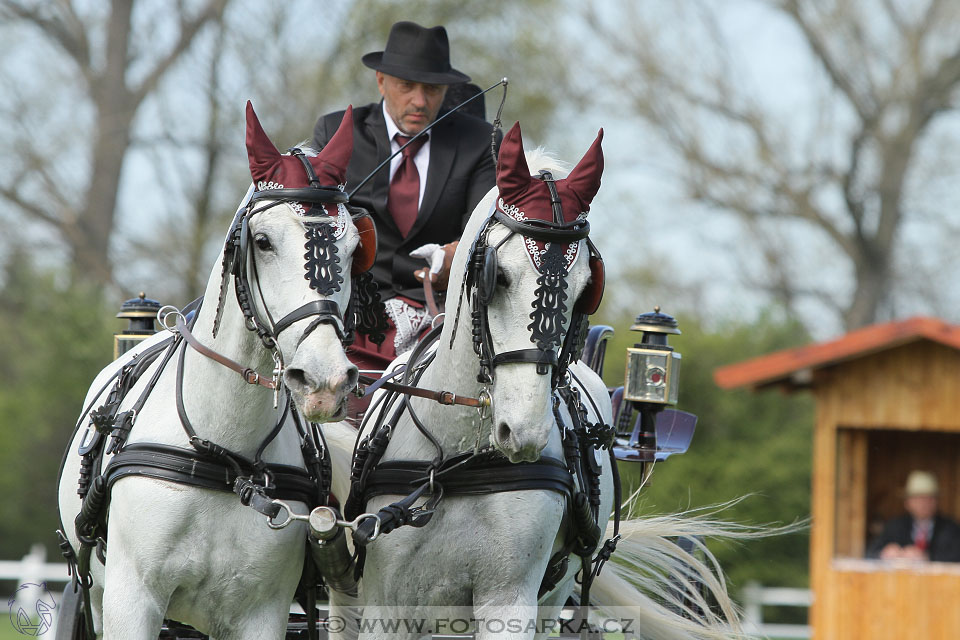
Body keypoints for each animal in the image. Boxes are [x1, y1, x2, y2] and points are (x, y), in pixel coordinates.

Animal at [56, 102, 372, 636]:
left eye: (353, 248)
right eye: (262, 242)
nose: (325, 381)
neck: (225, 455)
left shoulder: (260, 612)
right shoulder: (130, 600)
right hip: (98, 597)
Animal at [324, 121, 752, 640]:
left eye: (588, 284)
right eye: (499, 276)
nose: (524, 432)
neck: (458, 461)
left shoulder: (509, 599)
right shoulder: (386, 604)